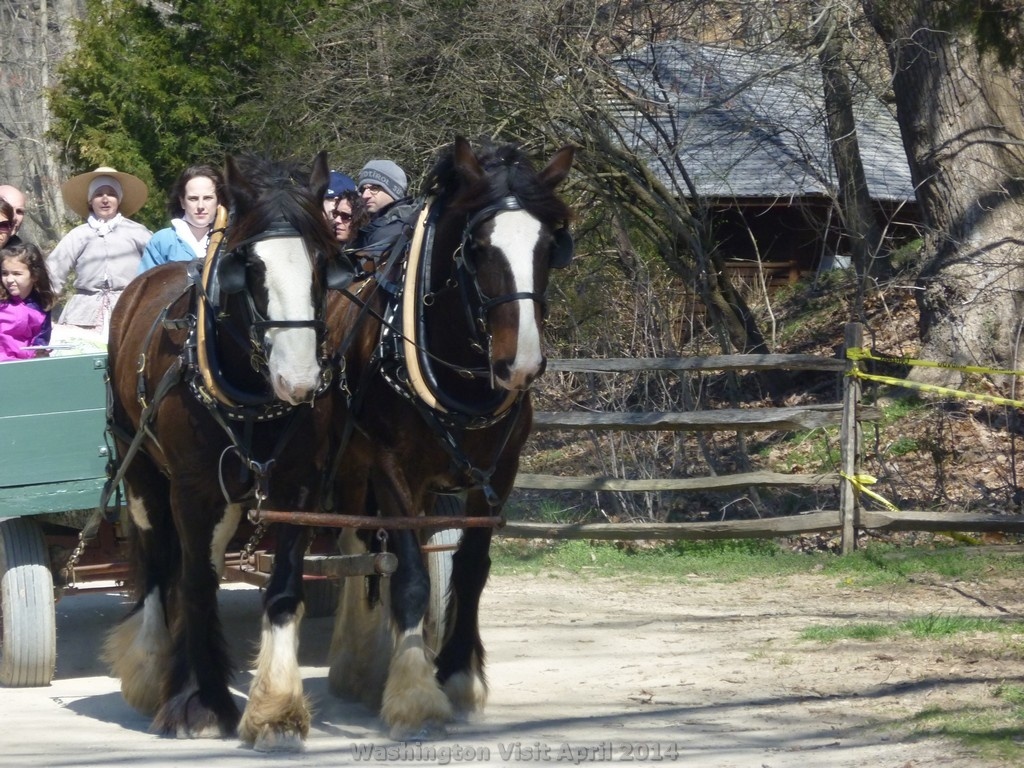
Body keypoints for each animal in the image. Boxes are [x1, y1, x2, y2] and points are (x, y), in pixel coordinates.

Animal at [103, 152, 351, 750]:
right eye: (250, 267)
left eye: (322, 262)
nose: (298, 379)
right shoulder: (194, 490)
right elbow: (195, 584)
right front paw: (200, 702)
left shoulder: (296, 487)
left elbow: (282, 591)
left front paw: (276, 710)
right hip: (142, 473)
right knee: (158, 563)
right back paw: (151, 670)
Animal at [324, 136, 575, 739]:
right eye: (478, 248)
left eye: (548, 246)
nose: (520, 362)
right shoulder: (389, 468)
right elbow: (411, 575)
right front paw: (415, 692)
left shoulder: (498, 474)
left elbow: (471, 568)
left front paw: (457, 673)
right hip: (351, 471)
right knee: (356, 551)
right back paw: (359, 665)